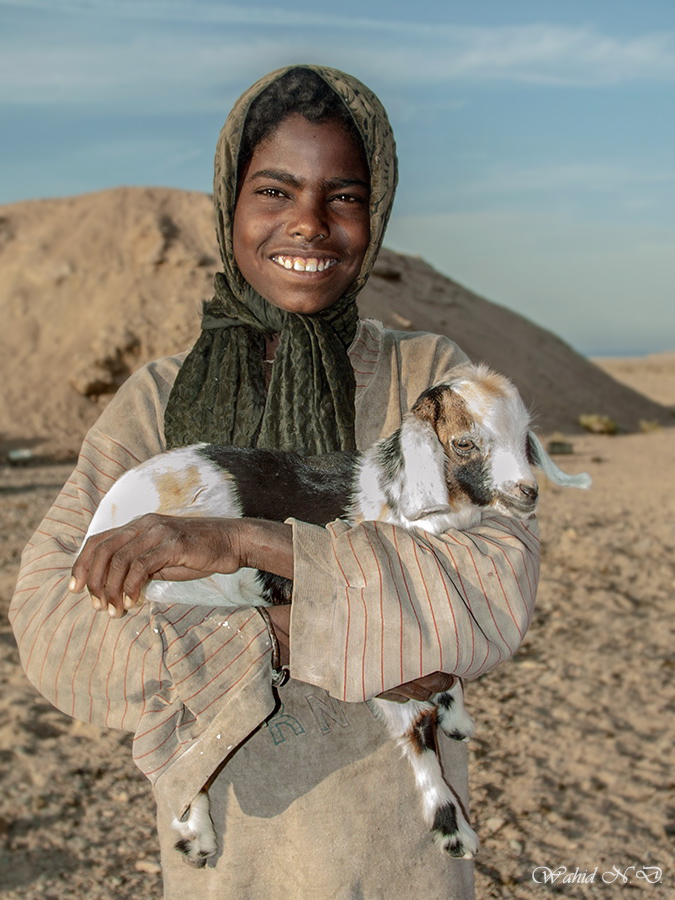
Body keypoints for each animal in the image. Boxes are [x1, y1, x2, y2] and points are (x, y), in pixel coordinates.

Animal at [83, 364, 592, 864]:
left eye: (524, 437)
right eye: (464, 442)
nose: (527, 493)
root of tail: (102, 522)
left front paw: (457, 716)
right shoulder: (383, 642)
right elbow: (415, 727)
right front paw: (453, 831)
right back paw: (197, 833)